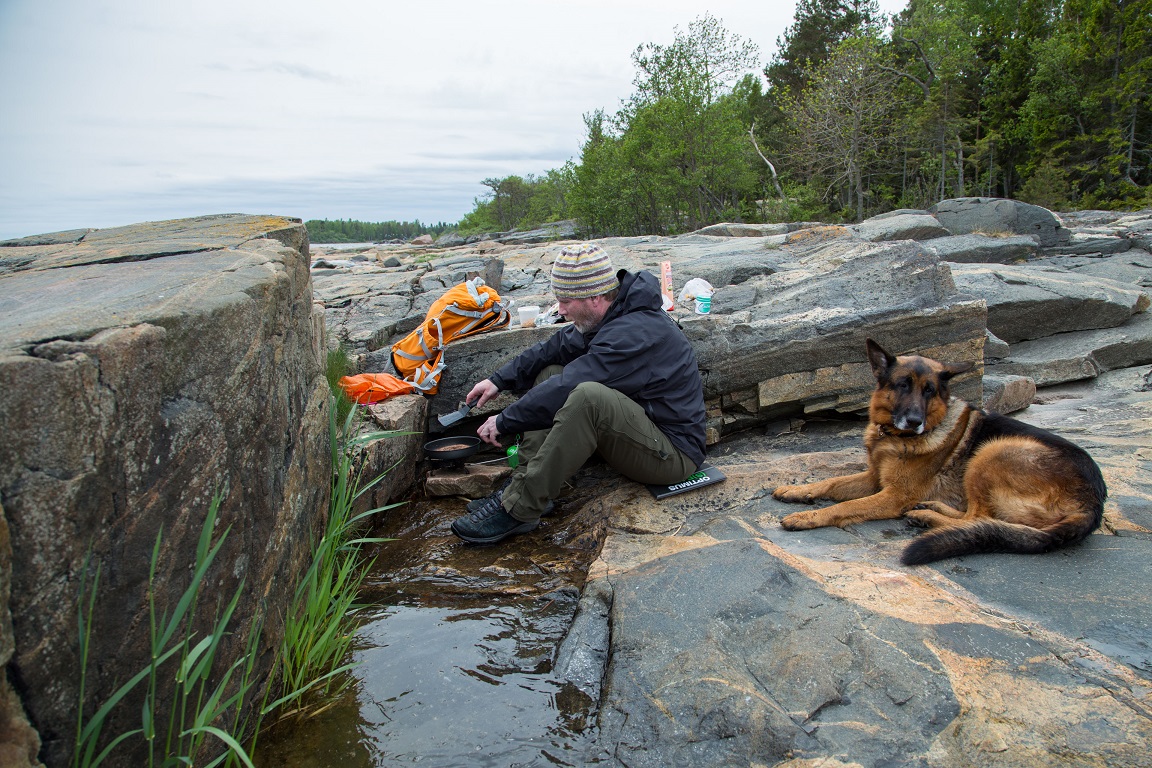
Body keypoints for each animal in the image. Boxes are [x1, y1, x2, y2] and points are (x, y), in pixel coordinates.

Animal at [774, 340, 1105, 564]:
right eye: (902, 385)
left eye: (929, 390)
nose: (914, 421)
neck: (894, 436)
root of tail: (1093, 504)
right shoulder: (874, 478)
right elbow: (830, 483)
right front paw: (797, 491)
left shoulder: (894, 495)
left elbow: (844, 506)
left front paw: (807, 517)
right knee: (976, 516)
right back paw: (929, 508)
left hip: (993, 451)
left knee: (978, 518)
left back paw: (927, 517)